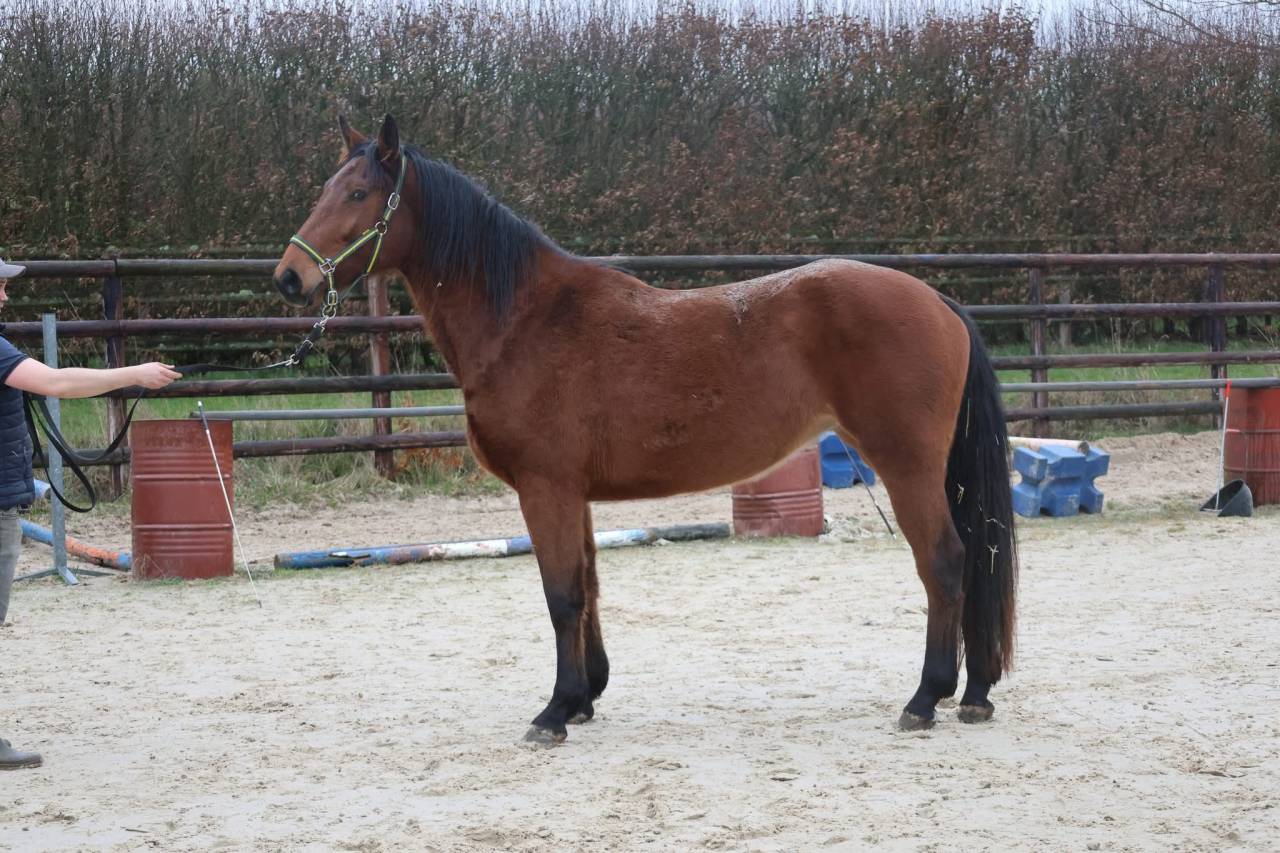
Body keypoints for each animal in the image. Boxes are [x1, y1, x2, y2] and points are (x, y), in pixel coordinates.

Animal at [273, 115, 1018, 745]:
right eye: (326, 189)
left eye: (359, 193)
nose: (288, 276)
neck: (526, 320)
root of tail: (938, 300)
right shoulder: (571, 493)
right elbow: (588, 588)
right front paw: (584, 696)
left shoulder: (545, 487)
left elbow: (562, 595)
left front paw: (554, 711)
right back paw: (976, 693)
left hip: (906, 465)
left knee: (944, 561)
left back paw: (925, 698)